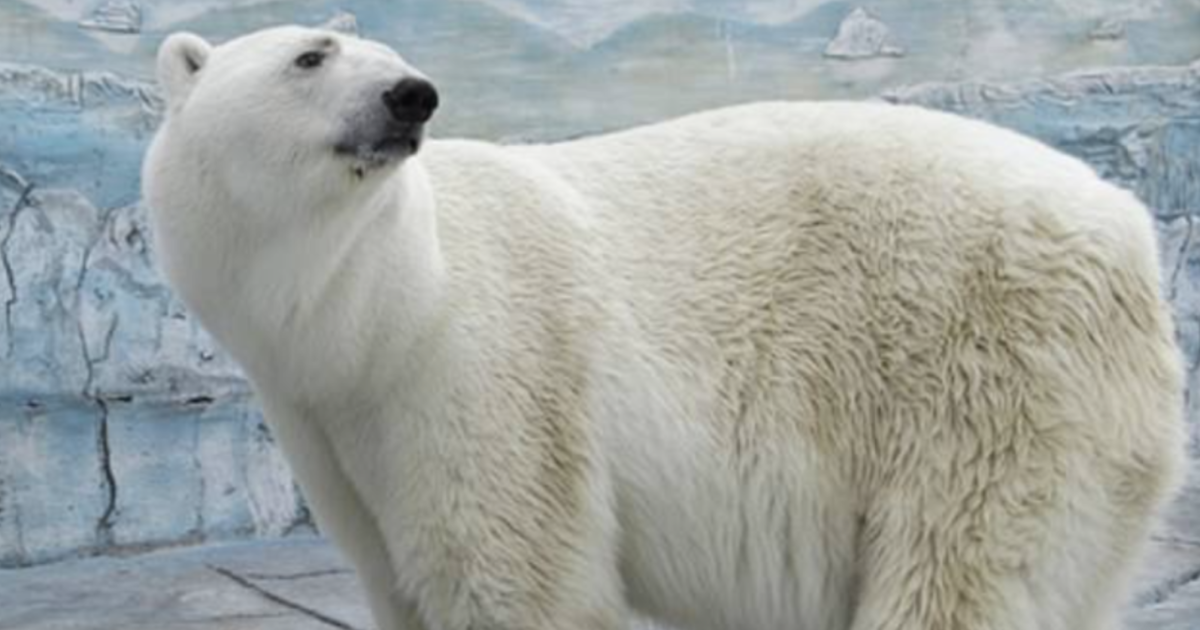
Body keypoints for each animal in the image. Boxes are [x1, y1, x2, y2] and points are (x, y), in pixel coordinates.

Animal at [142, 26, 1186, 630]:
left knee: (961, 574)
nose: (413, 93)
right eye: (311, 55)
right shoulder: (332, 425)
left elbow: (517, 576)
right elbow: (398, 575)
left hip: (993, 381)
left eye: (384, 52)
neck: (379, 310)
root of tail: (1128, 227)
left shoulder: (483, 374)